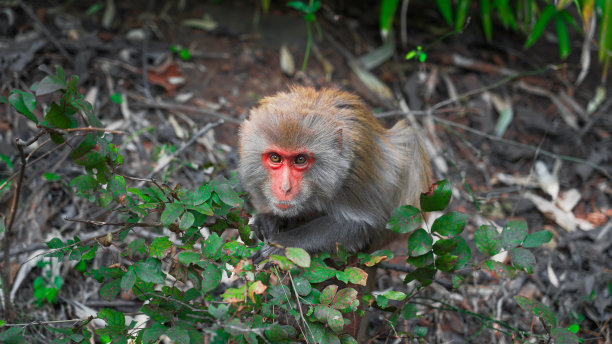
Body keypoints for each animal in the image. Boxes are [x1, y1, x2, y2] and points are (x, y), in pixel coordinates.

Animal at [237, 86, 432, 260]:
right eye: (275, 158)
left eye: (300, 160)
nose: (285, 188)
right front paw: (270, 219)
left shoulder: (355, 175)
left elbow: (362, 224)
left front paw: (285, 243)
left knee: (411, 139)